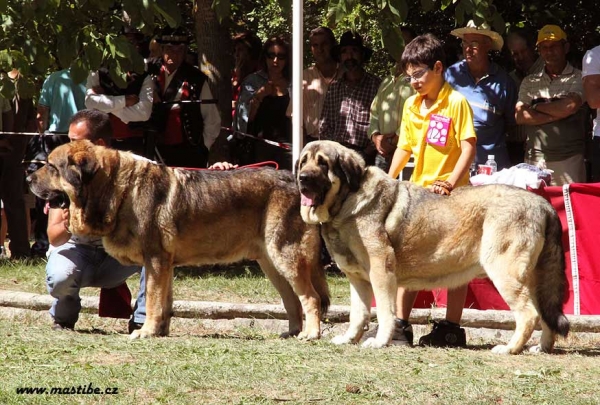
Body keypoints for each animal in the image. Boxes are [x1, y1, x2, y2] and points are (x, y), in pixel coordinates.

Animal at [29, 140, 328, 340]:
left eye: (51, 167)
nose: (28, 177)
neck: (119, 189)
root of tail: (296, 181)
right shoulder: (165, 265)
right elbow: (164, 303)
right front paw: (159, 331)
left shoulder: (155, 260)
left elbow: (152, 301)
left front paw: (146, 332)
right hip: (271, 263)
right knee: (292, 300)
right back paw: (292, 332)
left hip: (286, 257)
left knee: (311, 298)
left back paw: (310, 334)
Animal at [298, 140, 568, 354]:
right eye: (303, 162)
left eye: (323, 164)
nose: (302, 178)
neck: (347, 201)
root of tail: (542, 203)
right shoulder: (358, 279)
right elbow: (358, 314)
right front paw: (349, 339)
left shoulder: (381, 273)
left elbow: (384, 311)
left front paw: (380, 341)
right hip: (535, 280)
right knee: (545, 314)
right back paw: (541, 348)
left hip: (506, 274)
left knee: (528, 315)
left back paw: (510, 348)